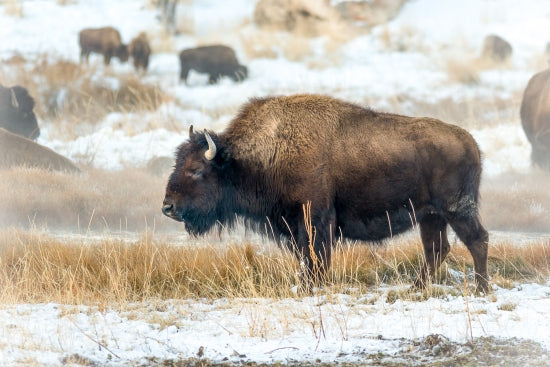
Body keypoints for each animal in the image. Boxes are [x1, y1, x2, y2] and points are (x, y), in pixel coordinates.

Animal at [164, 94, 492, 294]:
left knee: (477, 239)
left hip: (456, 209)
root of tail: (472, 142)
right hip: (430, 215)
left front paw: (311, 287)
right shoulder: (295, 225)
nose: (168, 207)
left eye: (196, 170)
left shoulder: (316, 218)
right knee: (436, 248)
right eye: (177, 163)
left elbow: (317, 257)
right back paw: (416, 288)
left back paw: (481, 288)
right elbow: (306, 258)